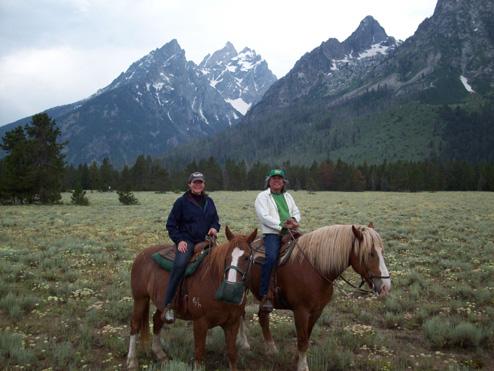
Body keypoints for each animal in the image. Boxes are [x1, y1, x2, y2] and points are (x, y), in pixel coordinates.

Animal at [127, 227, 256, 371]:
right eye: (226, 257)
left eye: (247, 258)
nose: (229, 291)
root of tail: (141, 254)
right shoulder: (200, 323)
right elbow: (199, 356)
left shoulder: (232, 323)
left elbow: (232, 355)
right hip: (140, 299)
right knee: (135, 325)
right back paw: (132, 360)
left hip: (160, 304)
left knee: (157, 320)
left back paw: (160, 354)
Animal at [240, 224, 394, 371]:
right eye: (370, 253)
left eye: (382, 252)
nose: (385, 287)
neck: (315, 268)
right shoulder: (301, 311)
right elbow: (302, 340)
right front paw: (302, 367)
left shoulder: (317, 310)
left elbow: (306, 337)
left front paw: (296, 360)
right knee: (242, 314)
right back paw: (245, 344)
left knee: (262, 317)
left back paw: (271, 349)